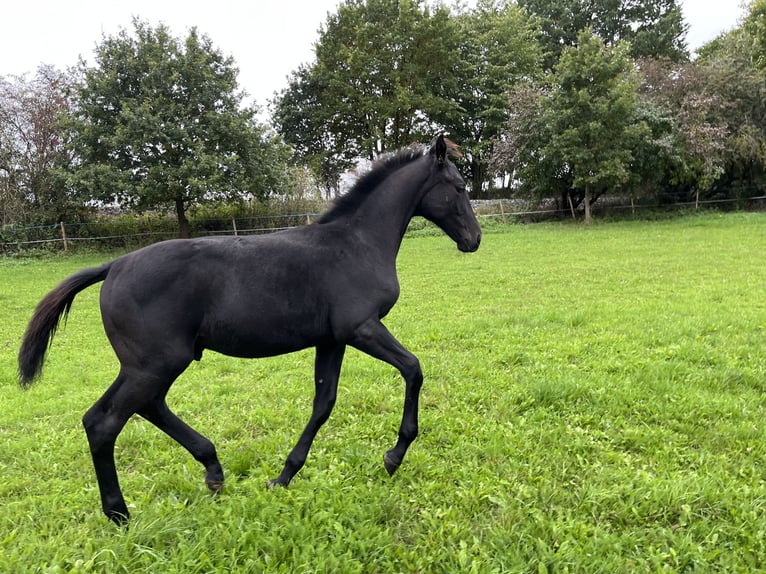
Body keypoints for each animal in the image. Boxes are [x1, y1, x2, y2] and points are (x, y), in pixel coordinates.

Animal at [18, 135, 482, 524]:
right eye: (459, 187)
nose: (474, 240)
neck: (357, 244)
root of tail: (113, 266)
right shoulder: (362, 328)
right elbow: (413, 369)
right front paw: (393, 456)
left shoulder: (332, 340)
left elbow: (324, 403)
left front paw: (282, 477)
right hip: (155, 364)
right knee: (105, 422)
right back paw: (120, 514)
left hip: (149, 365)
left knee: (141, 408)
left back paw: (212, 470)